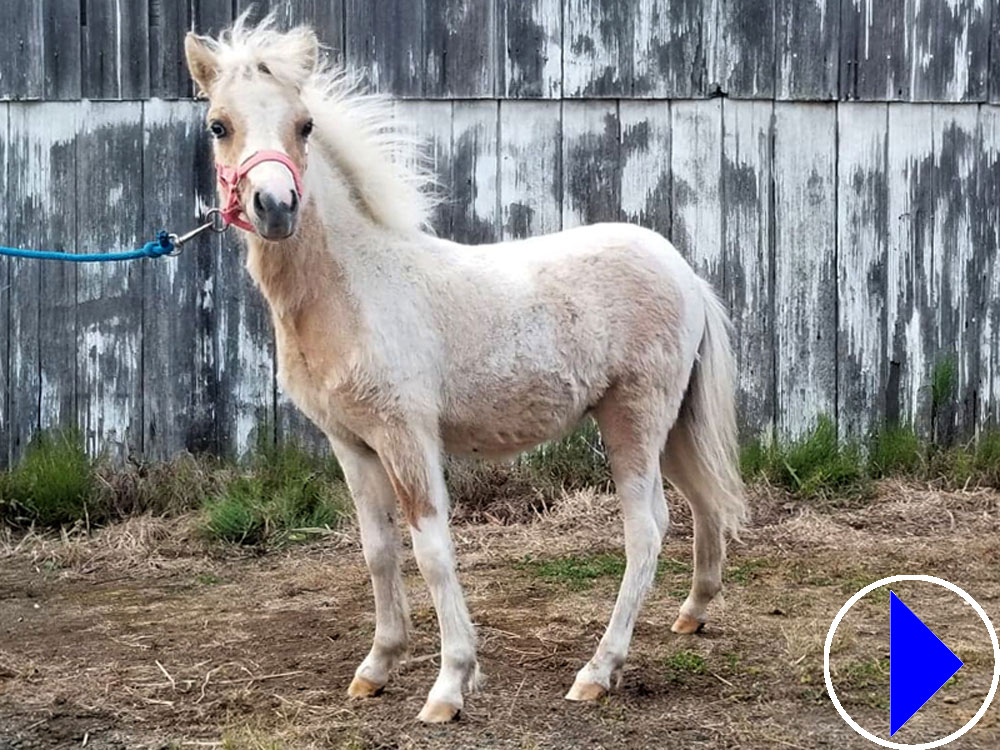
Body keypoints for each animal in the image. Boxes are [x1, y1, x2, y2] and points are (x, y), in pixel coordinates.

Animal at [184, 16, 748, 724]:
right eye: (219, 125)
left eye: (304, 124)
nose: (276, 206)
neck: (354, 289)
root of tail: (683, 270)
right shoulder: (352, 444)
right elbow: (377, 550)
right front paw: (376, 668)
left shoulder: (407, 436)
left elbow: (431, 550)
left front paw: (450, 685)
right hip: (669, 425)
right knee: (700, 501)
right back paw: (692, 614)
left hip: (635, 419)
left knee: (646, 530)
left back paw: (597, 671)